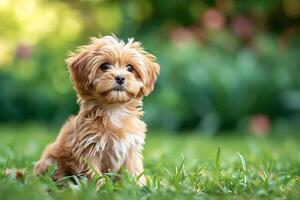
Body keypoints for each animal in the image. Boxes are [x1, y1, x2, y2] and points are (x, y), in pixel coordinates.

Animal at [34, 35, 161, 185]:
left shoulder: (131, 147)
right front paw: (99, 187)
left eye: (130, 68)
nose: (120, 77)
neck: (114, 109)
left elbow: (133, 169)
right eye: (104, 66)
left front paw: (137, 185)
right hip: (50, 161)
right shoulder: (88, 148)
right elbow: (93, 173)